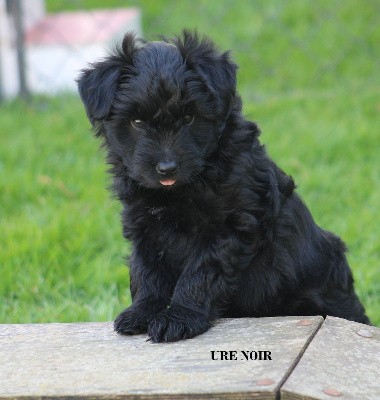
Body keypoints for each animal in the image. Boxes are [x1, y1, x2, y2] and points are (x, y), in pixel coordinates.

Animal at [78, 31, 372, 342]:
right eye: (136, 121)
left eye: (189, 118)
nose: (167, 168)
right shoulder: (145, 226)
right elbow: (147, 271)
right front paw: (141, 311)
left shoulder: (230, 226)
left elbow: (200, 272)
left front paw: (179, 317)